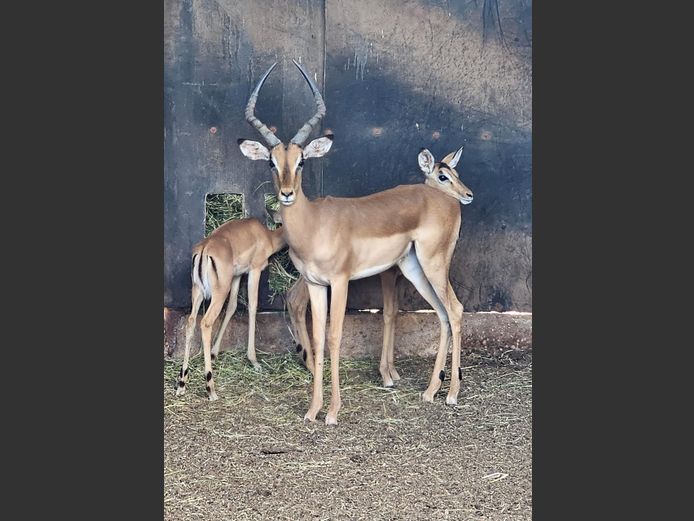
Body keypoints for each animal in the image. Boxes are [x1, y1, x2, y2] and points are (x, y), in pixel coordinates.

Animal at [175, 217, 286, 400]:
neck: (266, 236)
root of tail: (205, 249)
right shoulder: (254, 270)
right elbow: (253, 306)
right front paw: (254, 361)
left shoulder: (237, 276)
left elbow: (232, 307)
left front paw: (214, 352)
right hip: (219, 293)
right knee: (205, 323)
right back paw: (211, 389)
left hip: (198, 291)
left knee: (190, 322)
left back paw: (182, 383)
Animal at [239, 61, 473, 424]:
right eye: (271, 161)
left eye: (302, 160)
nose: (287, 194)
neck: (315, 225)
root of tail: (446, 200)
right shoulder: (316, 284)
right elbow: (319, 337)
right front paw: (313, 410)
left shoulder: (340, 282)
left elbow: (335, 337)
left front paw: (333, 412)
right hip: (414, 269)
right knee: (443, 313)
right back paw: (431, 391)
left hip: (434, 264)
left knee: (457, 310)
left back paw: (450, 394)